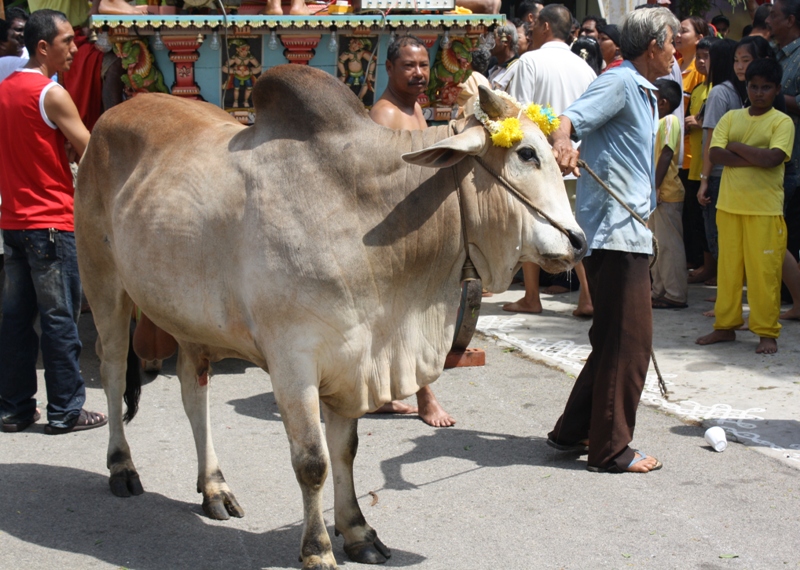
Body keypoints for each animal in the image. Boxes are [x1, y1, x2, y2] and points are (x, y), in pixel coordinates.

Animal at [75, 64, 584, 564]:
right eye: (526, 153)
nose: (578, 241)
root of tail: (112, 114)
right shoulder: (293, 362)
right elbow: (312, 462)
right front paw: (318, 549)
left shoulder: (353, 360)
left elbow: (346, 450)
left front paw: (358, 531)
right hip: (104, 286)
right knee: (114, 370)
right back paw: (122, 467)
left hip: (190, 320)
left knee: (192, 390)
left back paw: (214, 488)